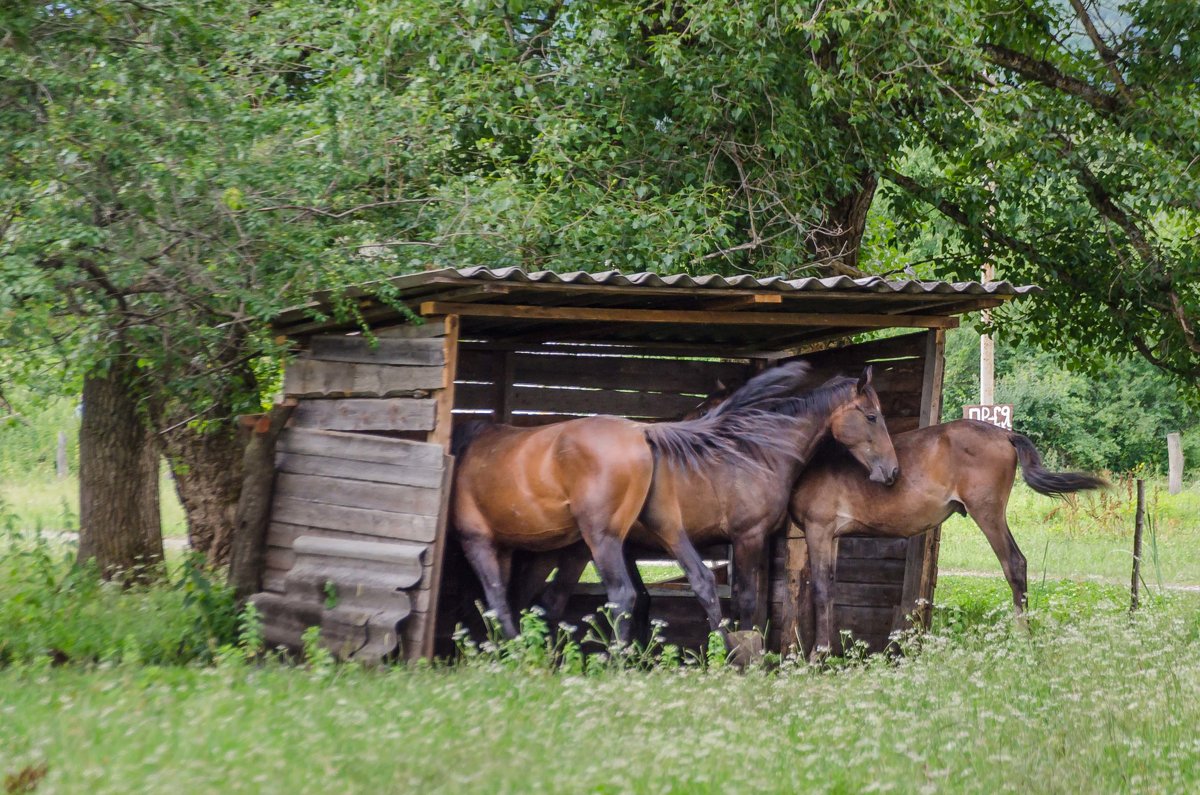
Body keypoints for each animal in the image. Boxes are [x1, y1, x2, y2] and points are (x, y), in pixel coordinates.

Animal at [787, 420, 1104, 658]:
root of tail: (1005, 434)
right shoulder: (832, 536)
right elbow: (830, 586)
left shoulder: (818, 529)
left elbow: (820, 588)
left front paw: (817, 654)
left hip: (988, 514)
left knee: (1014, 564)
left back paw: (1023, 638)